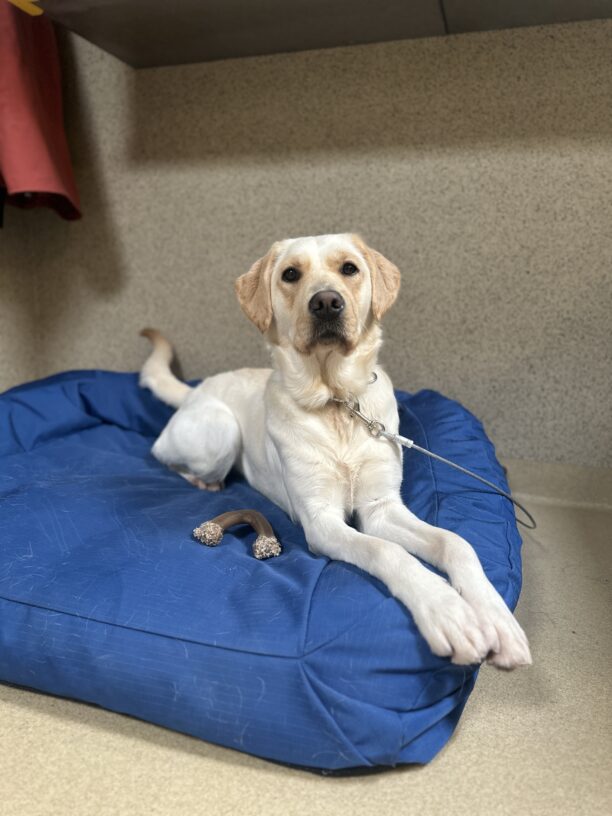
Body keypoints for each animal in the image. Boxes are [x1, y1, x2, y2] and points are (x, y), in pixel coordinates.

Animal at [142, 231, 532, 668]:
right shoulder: (322, 520)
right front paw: (450, 613)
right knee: (162, 454)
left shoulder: (382, 508)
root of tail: (198, 388)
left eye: (349, 268)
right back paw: (202, 481)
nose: (326, 302)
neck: (338, 404)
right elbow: (388, 552)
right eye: (290, 274)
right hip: (220, 432)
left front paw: (496, 619)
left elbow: (456, 543)